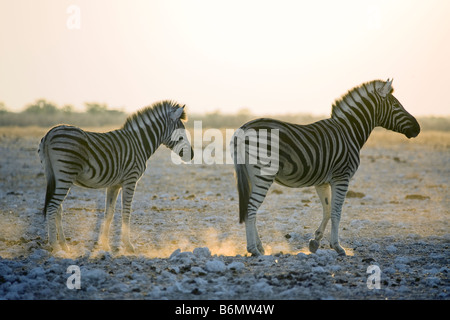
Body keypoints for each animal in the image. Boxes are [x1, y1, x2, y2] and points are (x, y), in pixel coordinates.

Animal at [37, 100, 192, 252]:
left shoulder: (114, 184)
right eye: (181, 134)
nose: (192, 155)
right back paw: (55, 246)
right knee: (52, 207)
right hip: (65, 174)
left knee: (58, 208)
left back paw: (64, 245)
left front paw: (105, 244)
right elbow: (126, 212)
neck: (139, 143)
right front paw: (128, 245)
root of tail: (50, 133)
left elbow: (109, 213)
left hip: (54, 176)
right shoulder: (130, 179)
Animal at [232, 80, 422, 258]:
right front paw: (337, 247)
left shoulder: (322, 181)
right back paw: (253, 250)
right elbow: (337, 212)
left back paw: (260, 248)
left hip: (250, 175)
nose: (418, 128)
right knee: (251, 208)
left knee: (250, 208)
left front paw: (315, 242)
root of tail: (244, 128)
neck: (349, 131)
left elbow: (328, 210)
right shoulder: (342, 177)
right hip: (263, 173)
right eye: (396, 105)